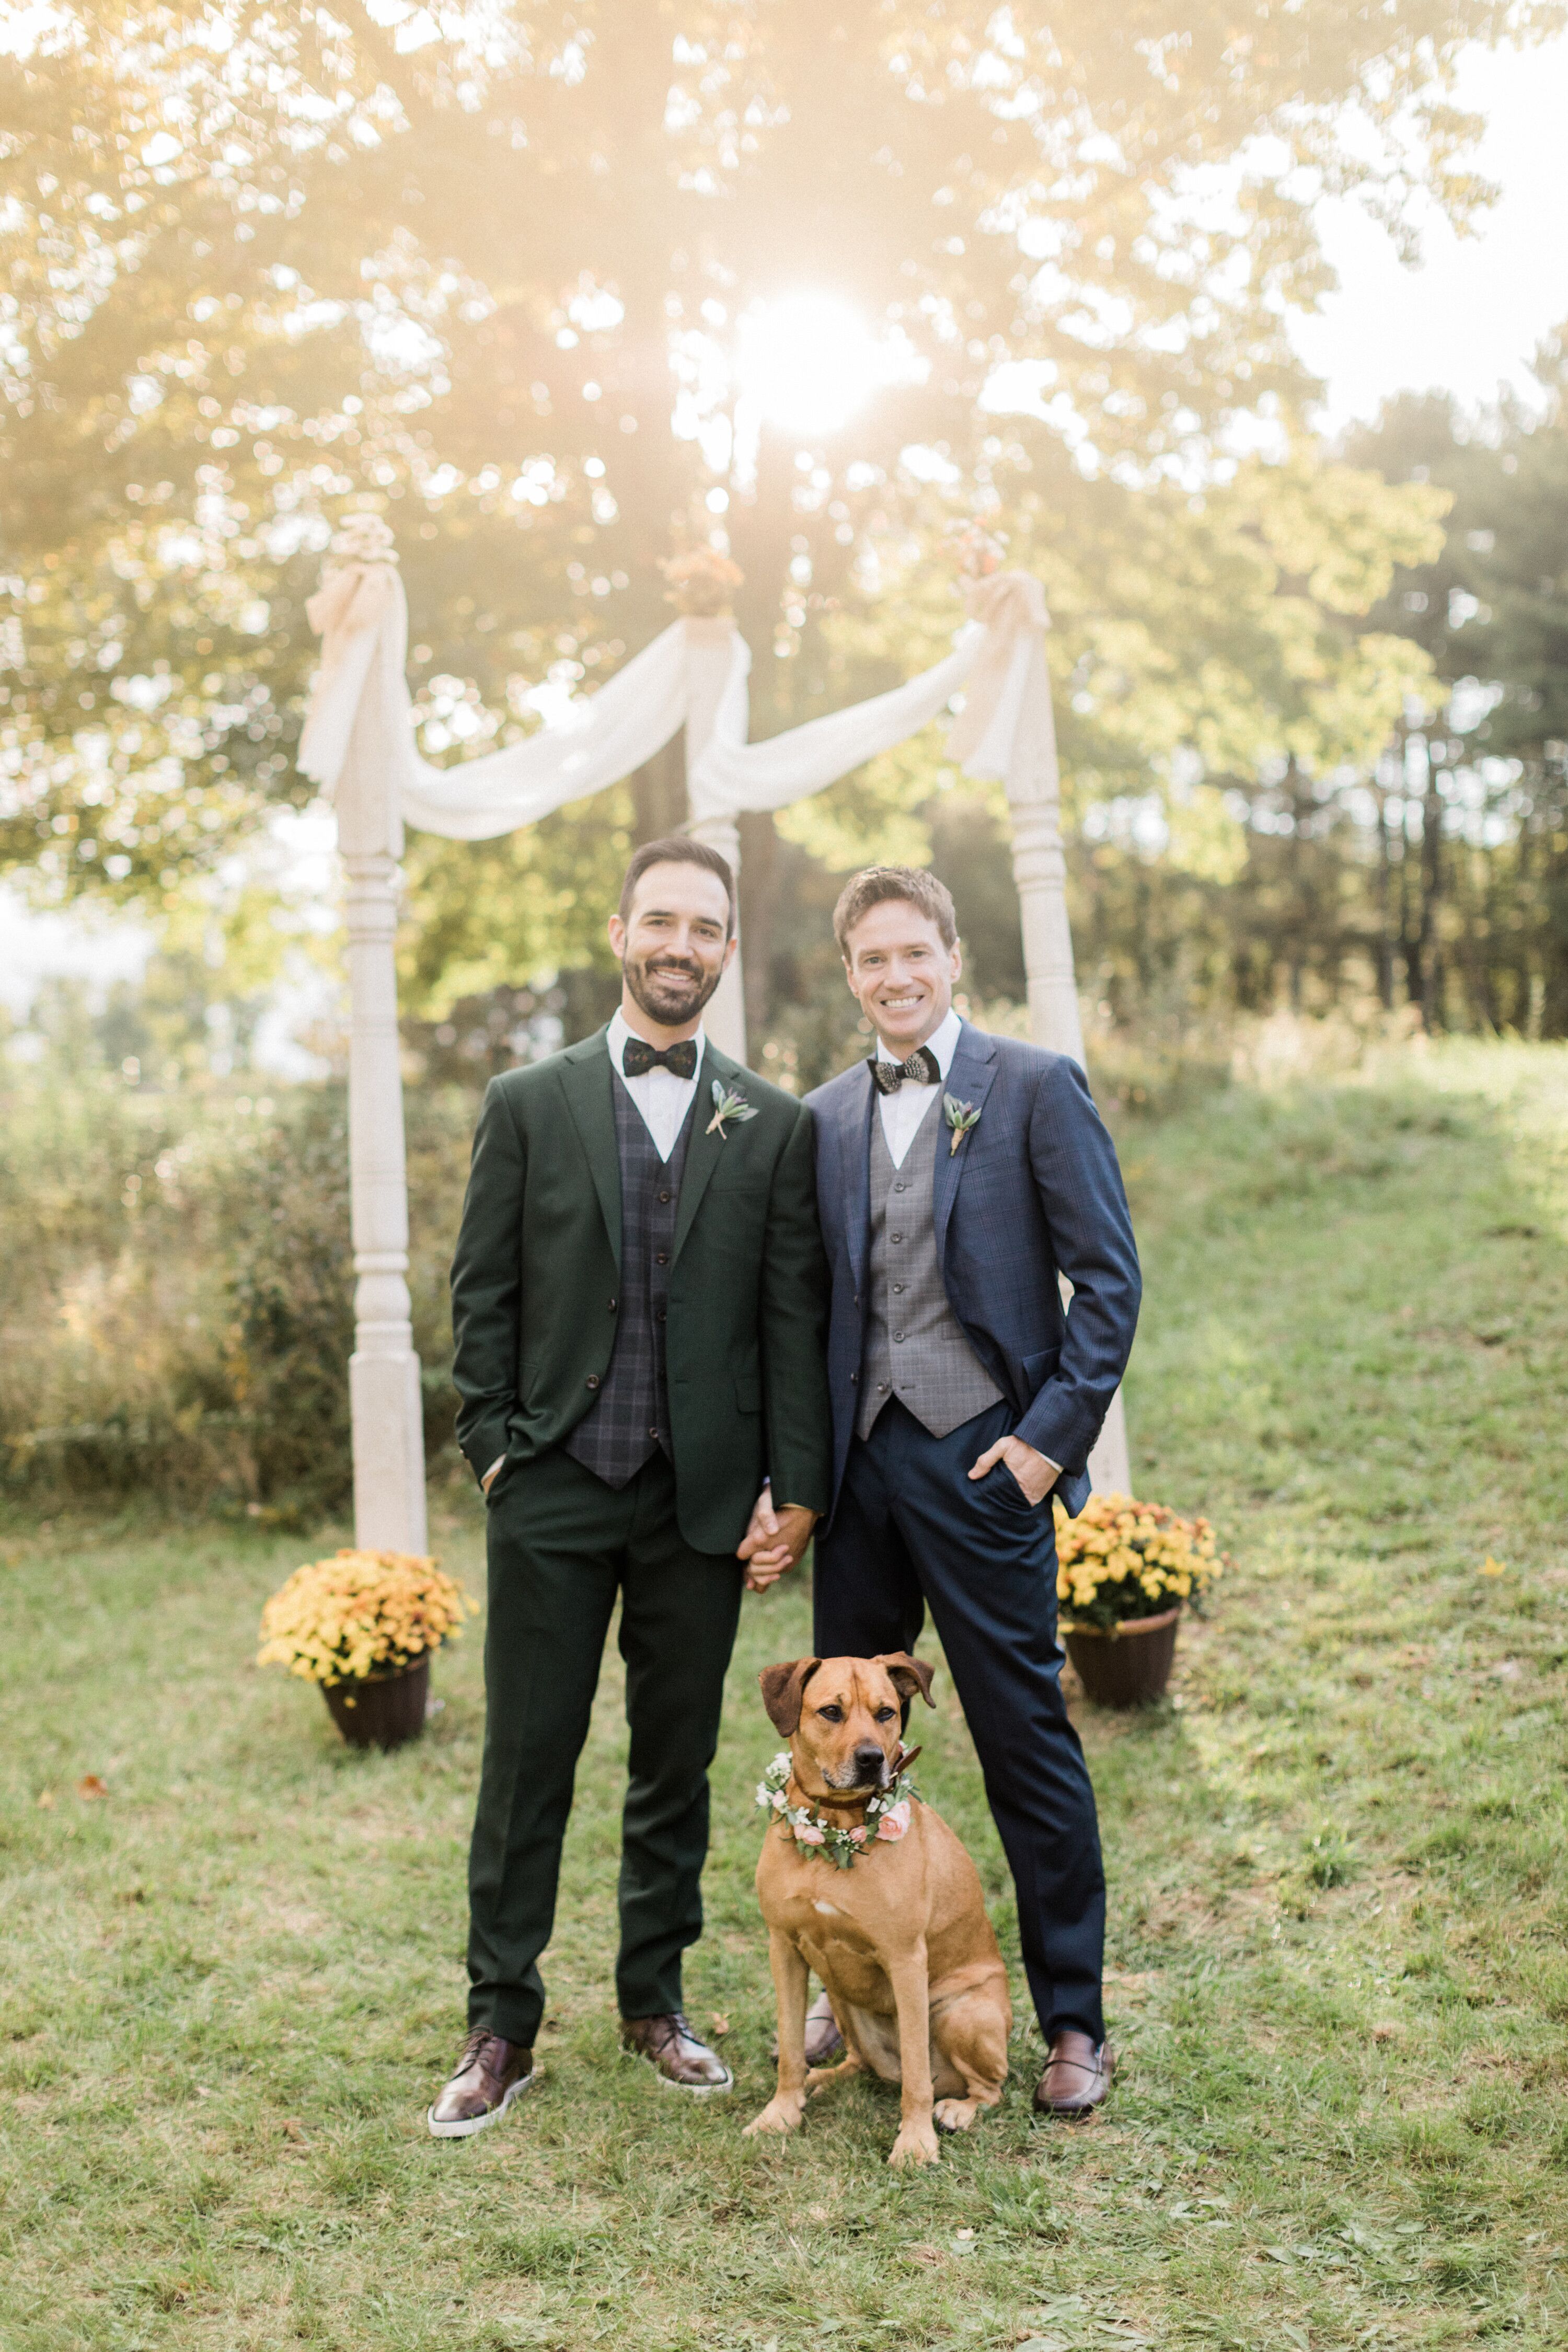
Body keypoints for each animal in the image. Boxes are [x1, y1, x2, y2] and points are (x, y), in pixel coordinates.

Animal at [743, 1656, 1011, 2164]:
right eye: (830, 1712)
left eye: (887, 1712)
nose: (872, 1759)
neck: (834, 1827)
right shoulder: (784, 1948)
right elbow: (790, 2048)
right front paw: (782, 2113)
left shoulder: (905, 1959)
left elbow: (917, 2075)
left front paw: (915, 2143)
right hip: (841, 1999)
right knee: (861, 2061)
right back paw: (823, 2079)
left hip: (963, 2014)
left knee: (986, 2086)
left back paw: (960, 2109)